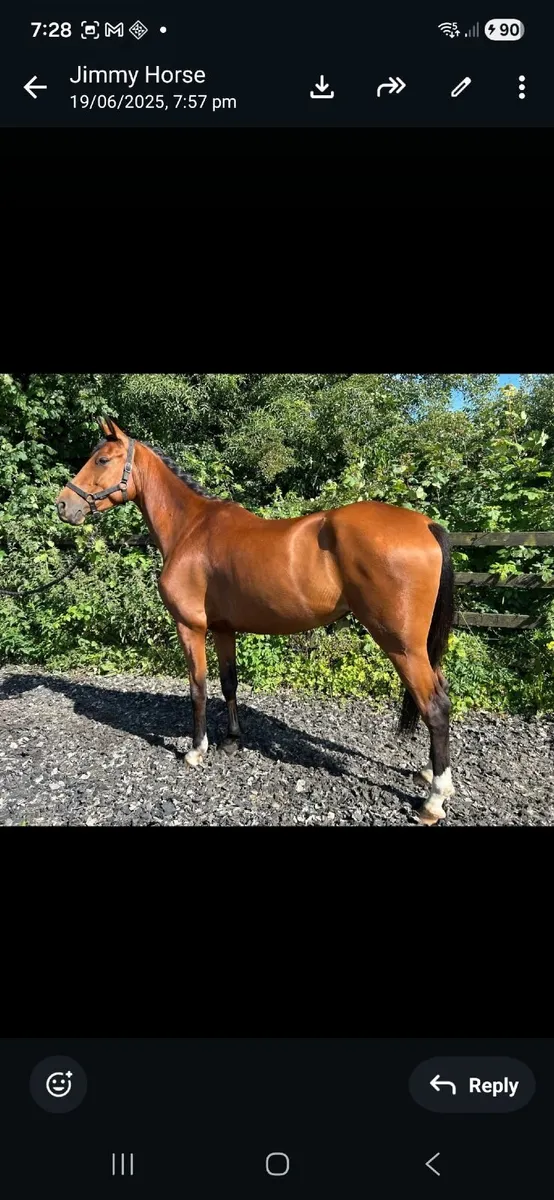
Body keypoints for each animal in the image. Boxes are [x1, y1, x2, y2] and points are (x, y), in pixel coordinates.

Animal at [55, 416, 456, 824]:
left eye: (102, 459)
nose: (63, 505)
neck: (190, 528)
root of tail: (425, 526)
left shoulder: (191, 628)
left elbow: (198, 688)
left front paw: (196, 750)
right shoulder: (223, 629)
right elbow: (228, 683)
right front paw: (232, 739)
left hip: (402, 646)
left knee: (435, 707)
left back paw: (433, 800)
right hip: (420, 647)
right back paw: (429, 774)